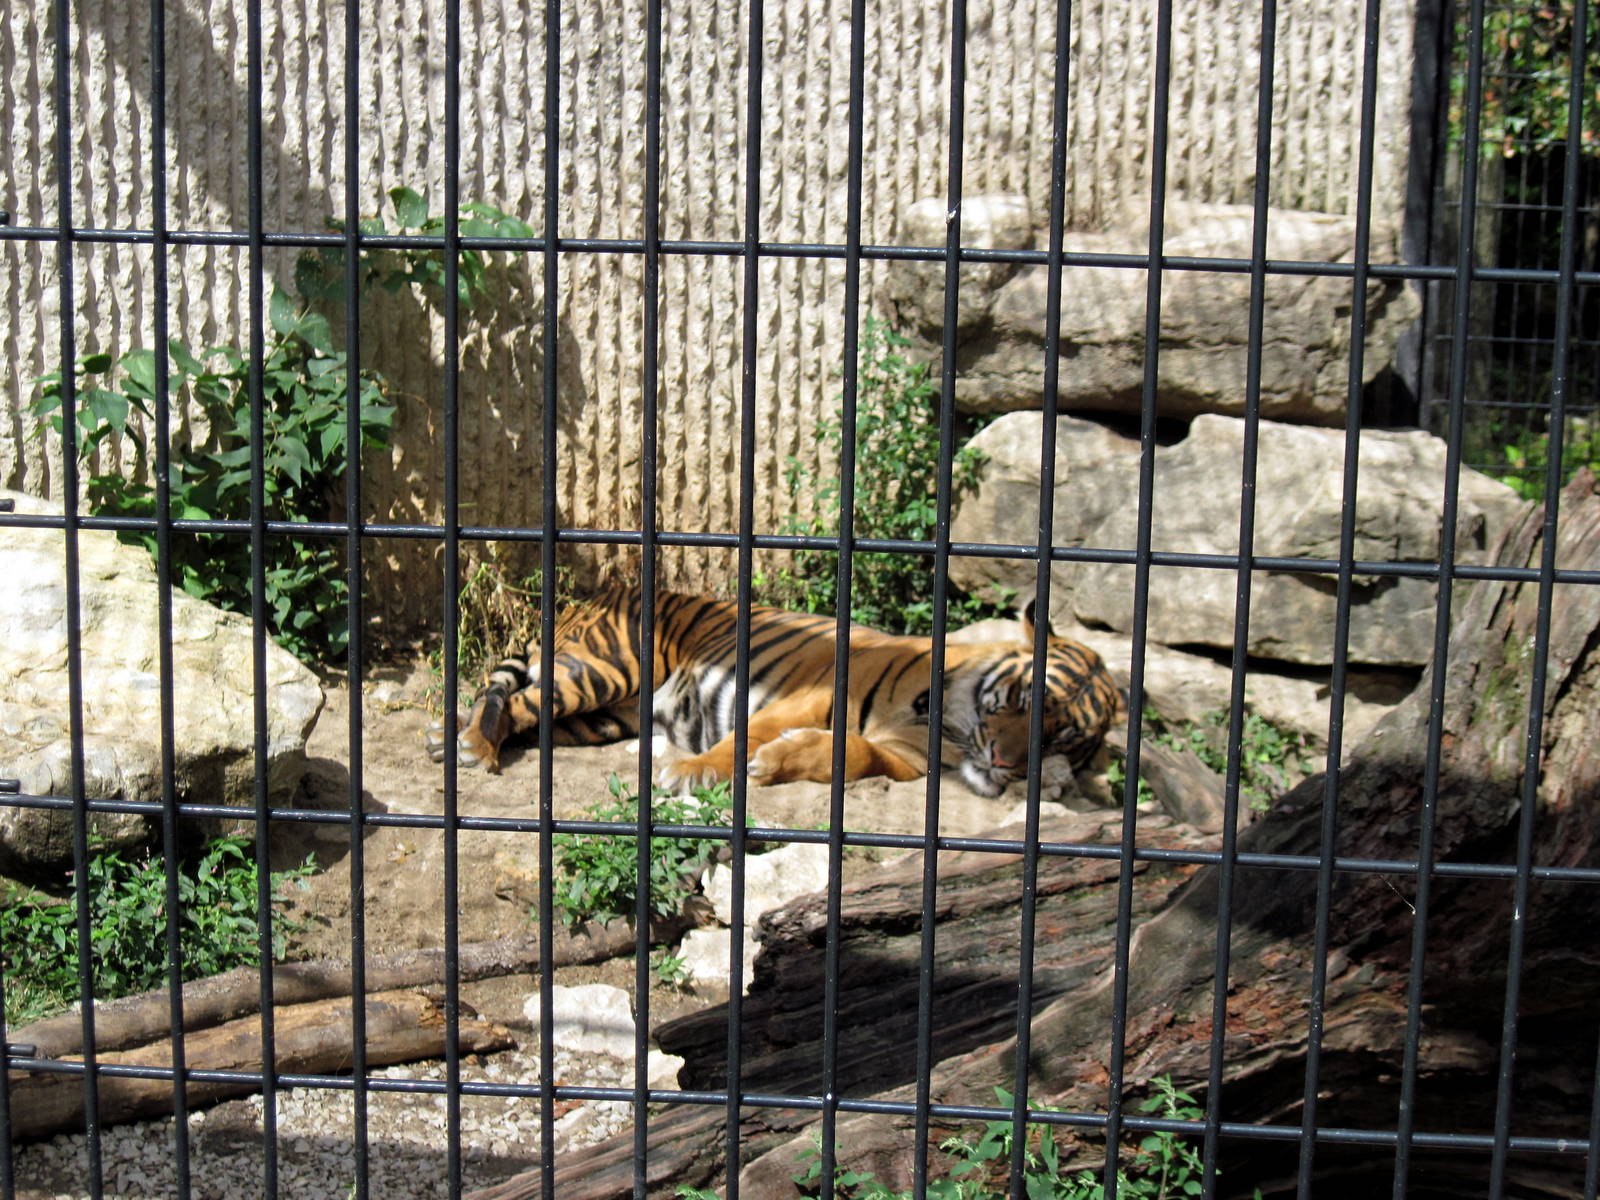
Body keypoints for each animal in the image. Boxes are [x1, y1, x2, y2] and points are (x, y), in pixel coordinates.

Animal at [425, 587, 1119, 797]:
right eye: (1025, 702)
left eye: (1064, 738)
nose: (1005, 762)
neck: (939, 719)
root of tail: (589, 596)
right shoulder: (814, 691)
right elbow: (742, 735)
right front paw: (692, 772)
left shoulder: (904, 760)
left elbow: (853, 755)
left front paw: (776, 762)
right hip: (603, 668)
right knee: (508, 700)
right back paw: (470, 747)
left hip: (605, 715)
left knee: (526, 715)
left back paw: (450, 737)